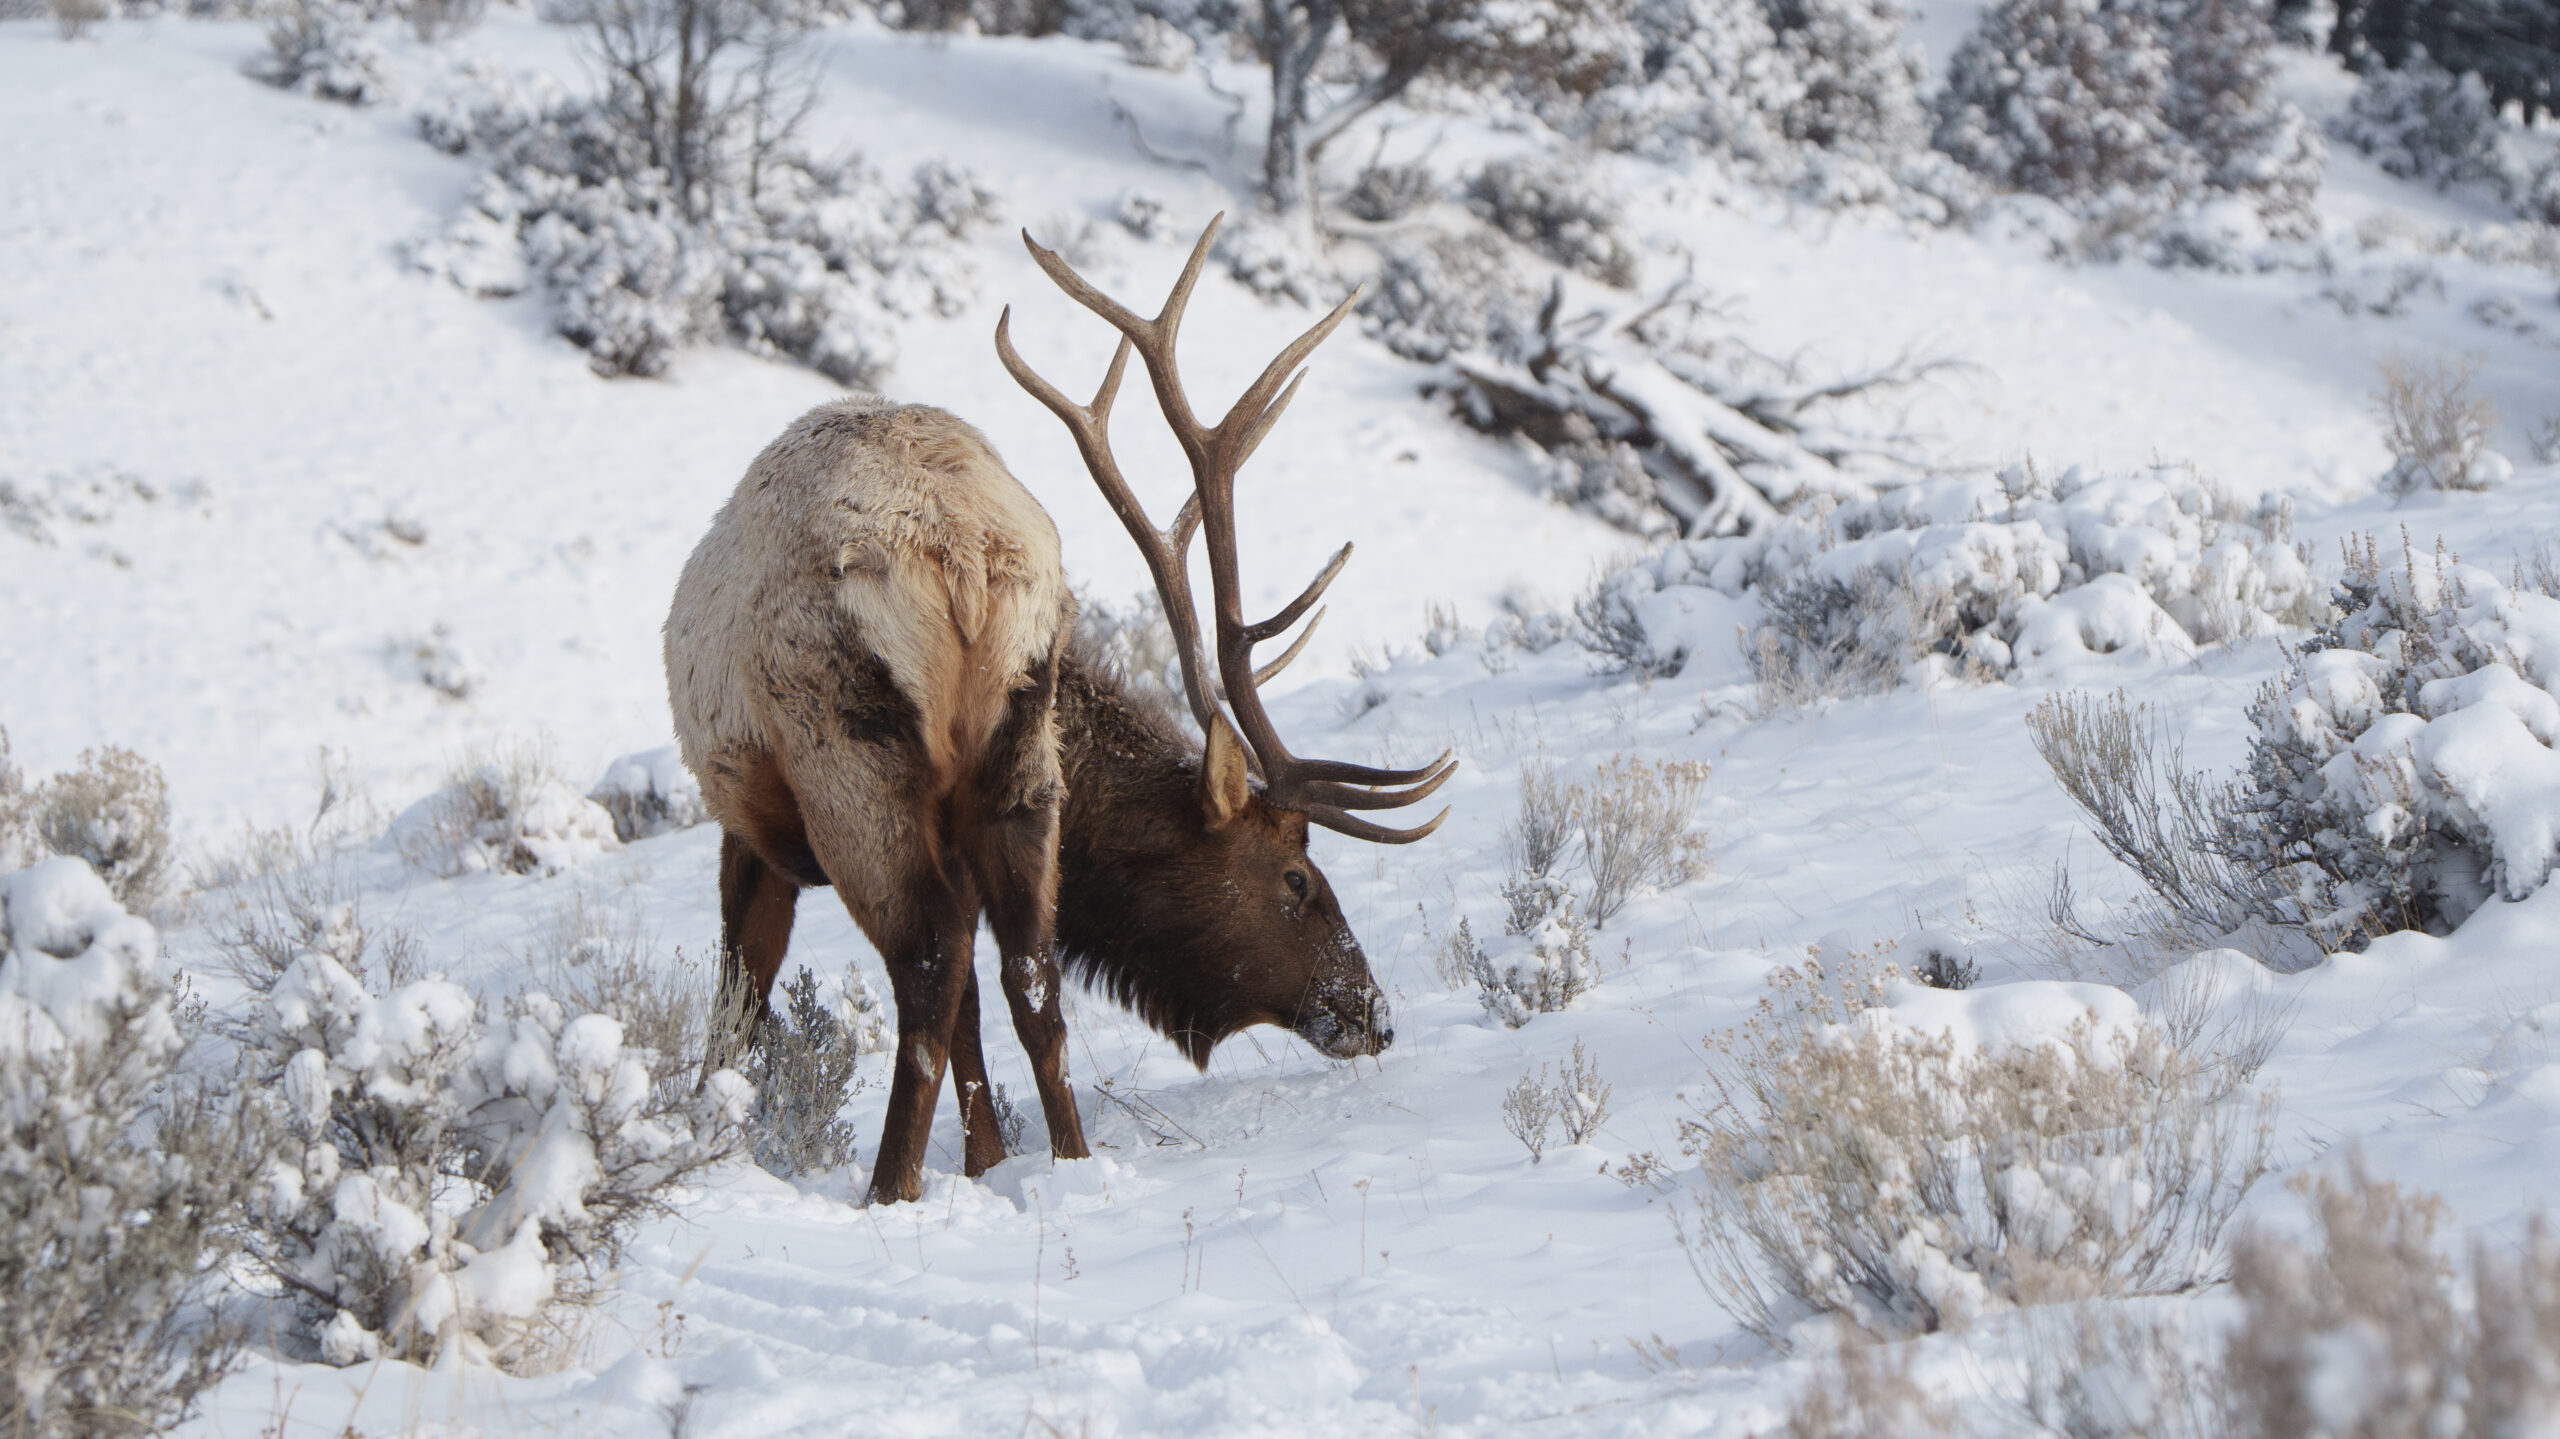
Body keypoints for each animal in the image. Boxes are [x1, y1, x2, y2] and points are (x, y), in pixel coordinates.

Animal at [663, 216, 1454, 1204]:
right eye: (1296, 878)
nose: (1376, 1016)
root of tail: (962, 558)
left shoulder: (749, 825)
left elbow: (741, 996)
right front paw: (989, 1160)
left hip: (850, 760)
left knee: (928, 972)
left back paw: (891, 1191)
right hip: (1019, 763)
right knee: (1028, 975)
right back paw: (1066, 1163)